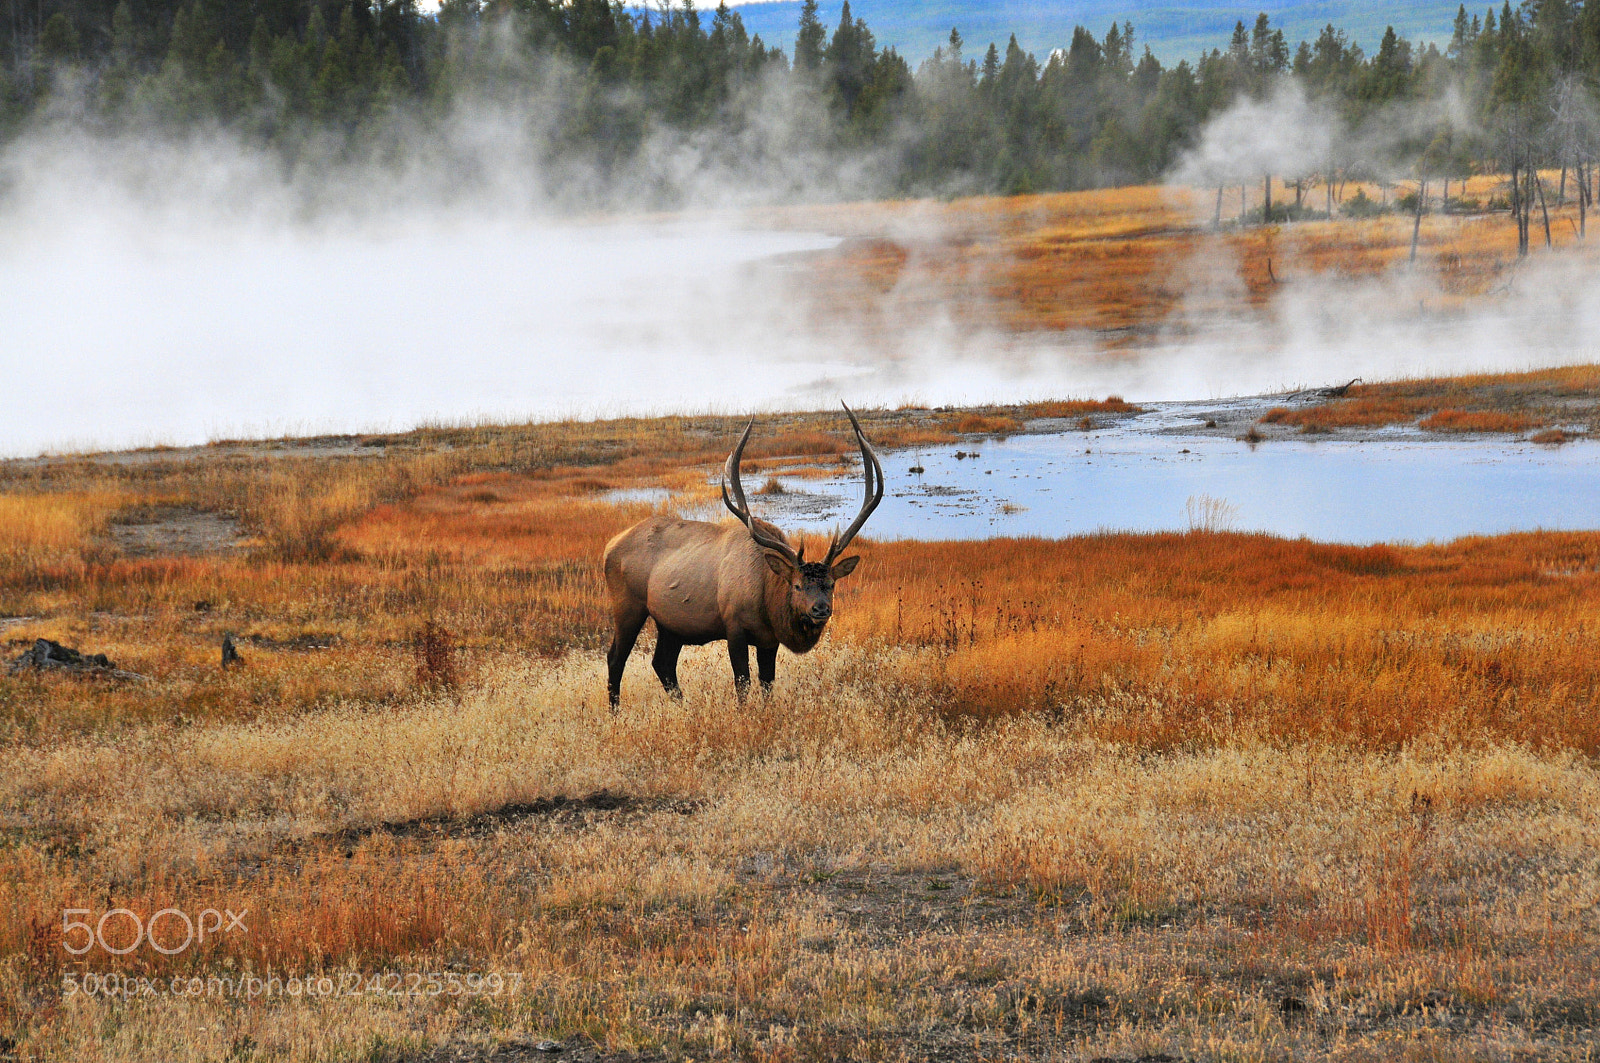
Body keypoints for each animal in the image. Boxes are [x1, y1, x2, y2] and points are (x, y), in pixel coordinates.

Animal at [602, 405, 885, 707]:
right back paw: (616, 712)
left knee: (662, 663)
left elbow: (767, 684)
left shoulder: (769, 640)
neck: (767, 598)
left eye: (831, 585)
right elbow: (742, 684)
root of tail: (609, 546)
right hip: (628, 605)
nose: (820, 609)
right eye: (797, 585)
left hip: (671, 622)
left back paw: (682, 706)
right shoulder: (733, 626)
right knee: (615, 658)